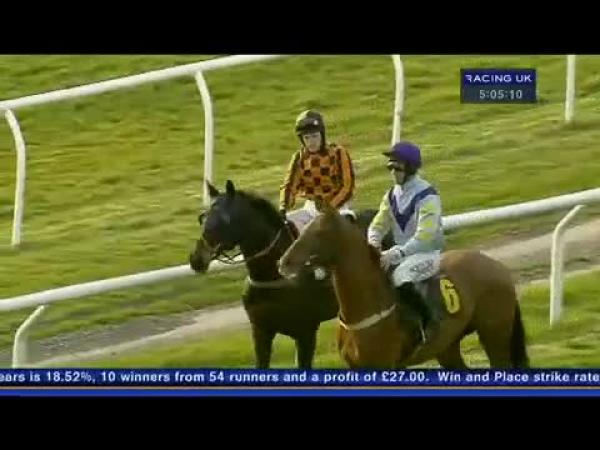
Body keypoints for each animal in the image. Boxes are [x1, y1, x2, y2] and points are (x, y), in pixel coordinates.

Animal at [188, 179, 392, 369]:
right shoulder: (261, 331)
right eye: (202, 217)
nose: (196, 259)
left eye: (225, 219)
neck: (273, 277)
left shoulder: (305, 332)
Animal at [278, 202, 530, 369]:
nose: (284, 262)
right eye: (303, 228)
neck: (364, 310)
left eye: (319, 231)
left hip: (494, 333)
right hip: (446, 345)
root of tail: (495, 265)